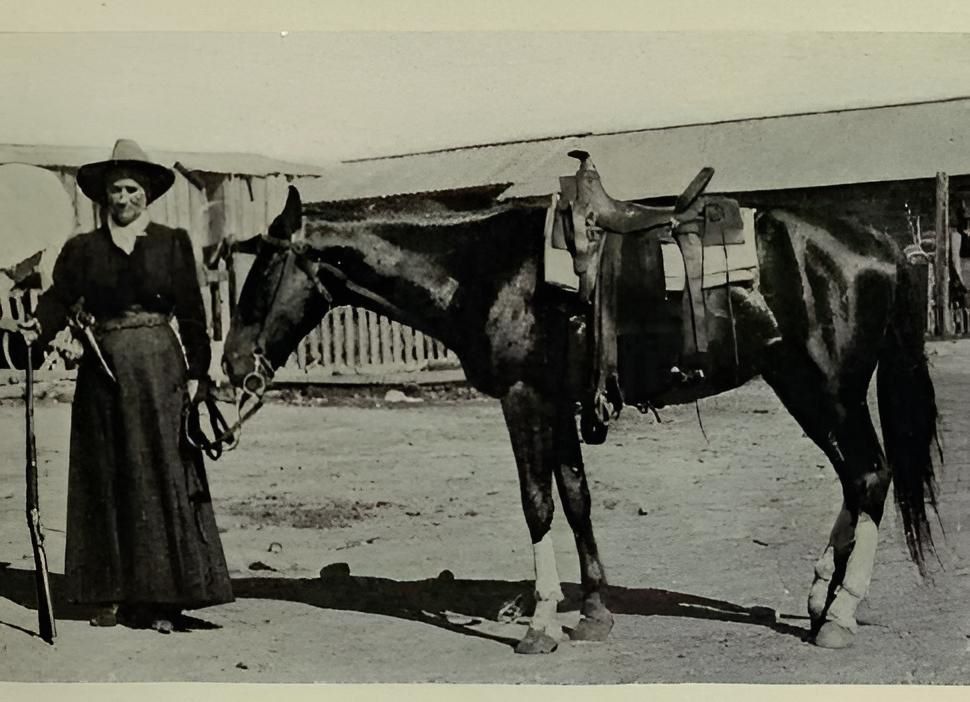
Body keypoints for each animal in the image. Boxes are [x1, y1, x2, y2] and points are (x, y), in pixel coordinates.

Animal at [221, 157, 936, 656]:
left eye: (262, 274)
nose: (230, 367)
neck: (485, 269)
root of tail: (884, 247)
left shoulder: (524, 399)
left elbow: (537, 502)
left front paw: (540, 623)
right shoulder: (559, 403)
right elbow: (575, 496)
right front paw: (592, 611)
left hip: (829, 387)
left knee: (870, 474)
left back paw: (839, 614)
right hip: (800, 384)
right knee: (855, 479)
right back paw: (818, 594)